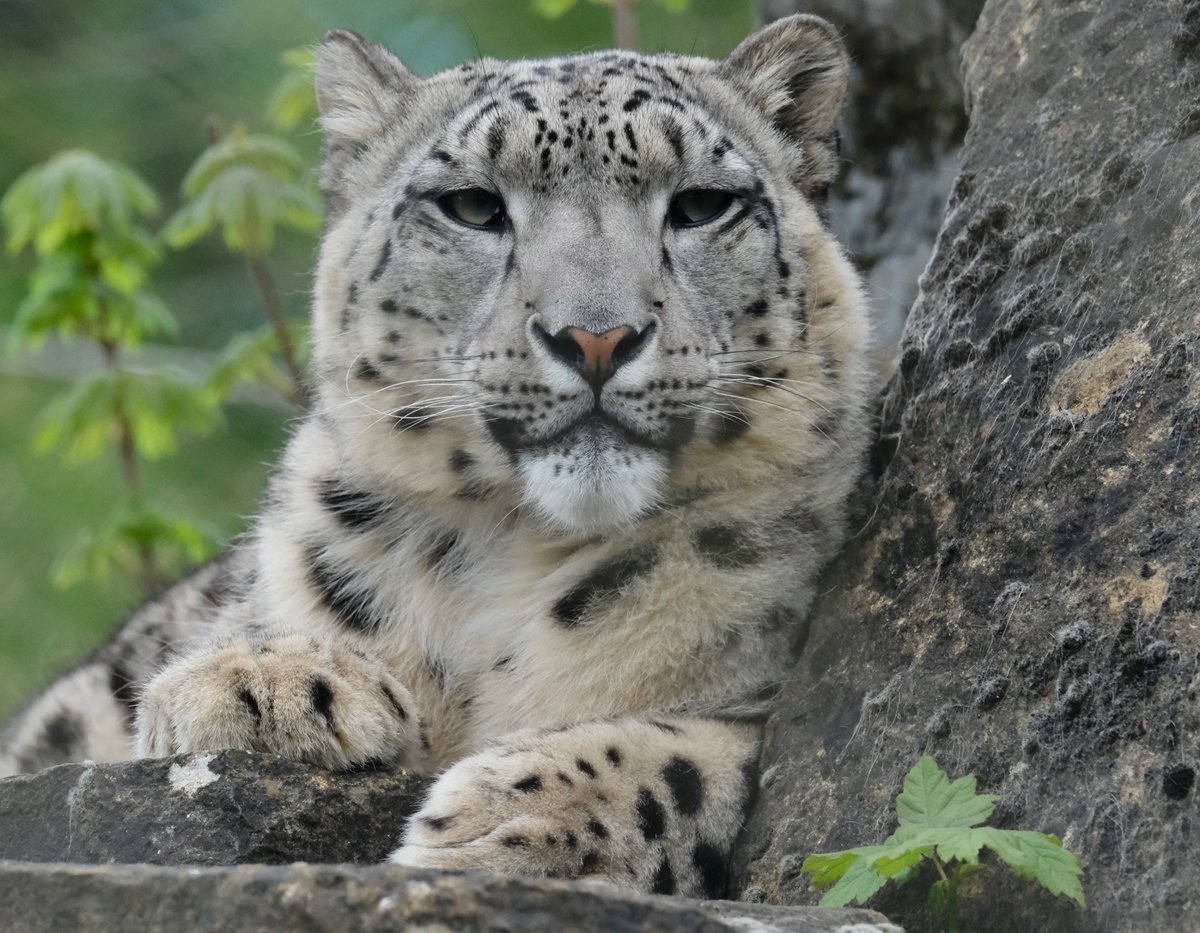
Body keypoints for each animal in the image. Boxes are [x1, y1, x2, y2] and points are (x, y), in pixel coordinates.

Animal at [0, 14, 873, 897]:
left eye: (700, 205)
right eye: (474, 206)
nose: (596, 337)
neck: (506, 556)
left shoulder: (765, 706)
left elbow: (689, 763)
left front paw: (501, 823)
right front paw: (261, 682)